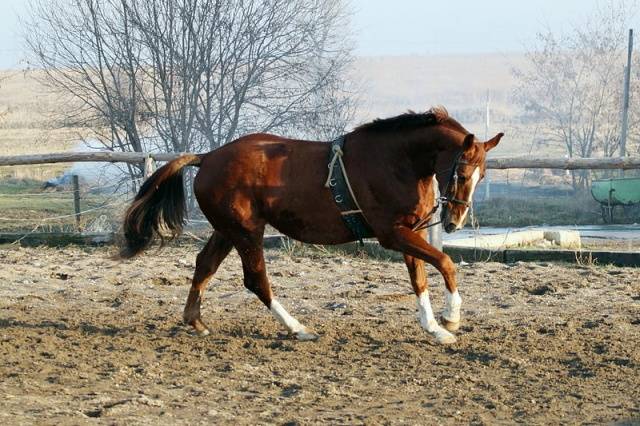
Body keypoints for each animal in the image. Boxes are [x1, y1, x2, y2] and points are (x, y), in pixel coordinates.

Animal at [119, 108, 500, 344]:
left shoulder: (412, 231)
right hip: (247, 231)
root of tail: (208, 157)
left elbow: (419, 279)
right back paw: (298, 329)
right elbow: (446, 263)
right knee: (255, 279)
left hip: (228, 230)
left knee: (205, 266)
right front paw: (452, 318)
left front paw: (435, 329)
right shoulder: (393, 235)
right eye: (462, 173)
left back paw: (196, 321)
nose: (454, 221)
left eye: (482, 176)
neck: (398, 162)